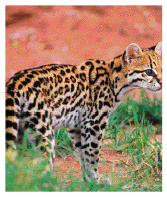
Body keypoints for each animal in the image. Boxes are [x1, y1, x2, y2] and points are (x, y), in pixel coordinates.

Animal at [6, 41, 162, 183]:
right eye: (149, 71)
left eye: (162, 69)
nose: (161, 82)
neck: (116, 82)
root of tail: (14, 83)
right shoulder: (94, 124)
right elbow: (92, 155)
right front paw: (95, 182)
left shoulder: (75, 126)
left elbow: (82, 154)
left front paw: (88, 182)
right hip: (44, 134)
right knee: (43, 167)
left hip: (19, 132)